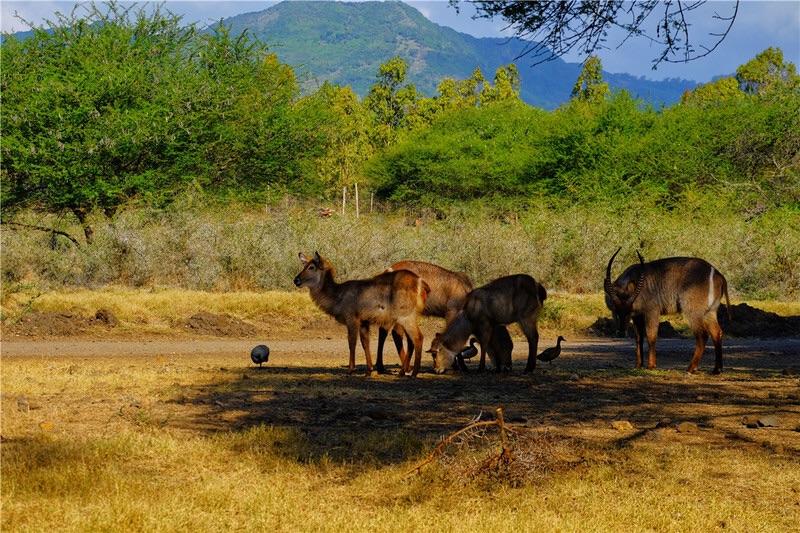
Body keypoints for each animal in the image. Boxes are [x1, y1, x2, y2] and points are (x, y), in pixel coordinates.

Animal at [294, 251, 432, 376]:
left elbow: (352, 342)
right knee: (411, 341)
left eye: (311, 267)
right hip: (410, 317)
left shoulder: (351, 319)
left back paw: (414, 372)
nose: (296, 280)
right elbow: (365, 343)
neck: (337, 295)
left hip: (406, 316)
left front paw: (350, 370)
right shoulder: (364, 322)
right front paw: (369, 370)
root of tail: (422, 284)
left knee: (418, 338)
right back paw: (403, 372)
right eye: (304, 266)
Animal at [376, 260, 512, 370]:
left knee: (384, 330)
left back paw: (382, 367)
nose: (508, 367)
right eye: (505, 345)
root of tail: (389, 270)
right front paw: (459, 366)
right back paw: (406, 367)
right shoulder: (452, 313)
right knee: (396, 332)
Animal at [604, 247, 736, 372]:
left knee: (702, 335)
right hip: (710, 312)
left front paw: (651, 365)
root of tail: (717, 273)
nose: (621, 333)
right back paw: (716, 369)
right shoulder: (637, 316)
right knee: (717, 333)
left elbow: (651, 337)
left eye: (628, 310)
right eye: (614, 310)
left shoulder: (652, 311)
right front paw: (638, 365)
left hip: (693, 311)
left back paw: (691, 369)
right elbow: (639, 338)